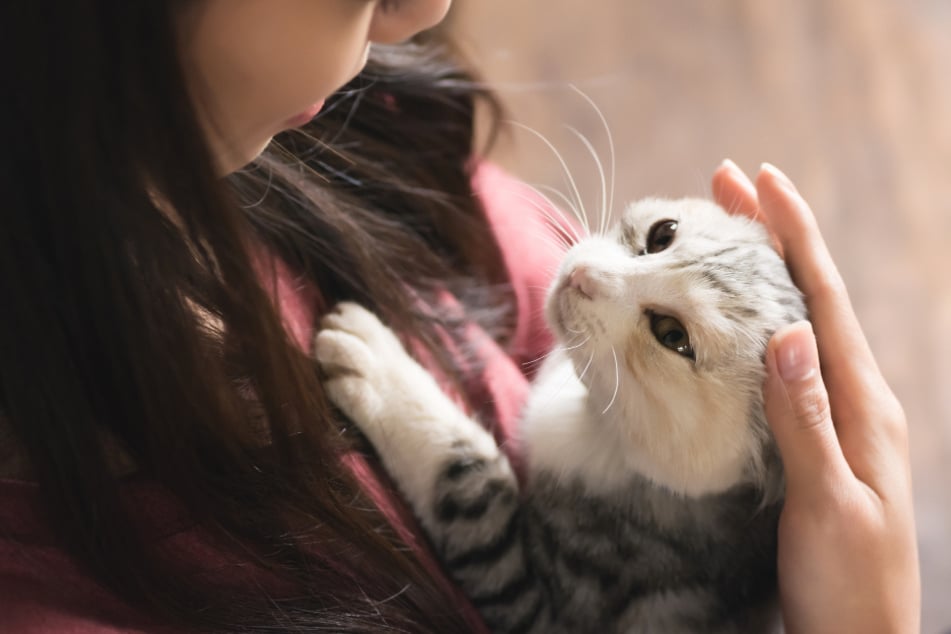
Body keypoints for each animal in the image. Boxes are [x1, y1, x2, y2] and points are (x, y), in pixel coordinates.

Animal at [316, 198, 808, 632]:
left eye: (673, 335)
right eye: (662, 234)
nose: (583, 276)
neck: (600, 420)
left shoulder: (550, 605)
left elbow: (470, 476)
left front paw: (378, 366)